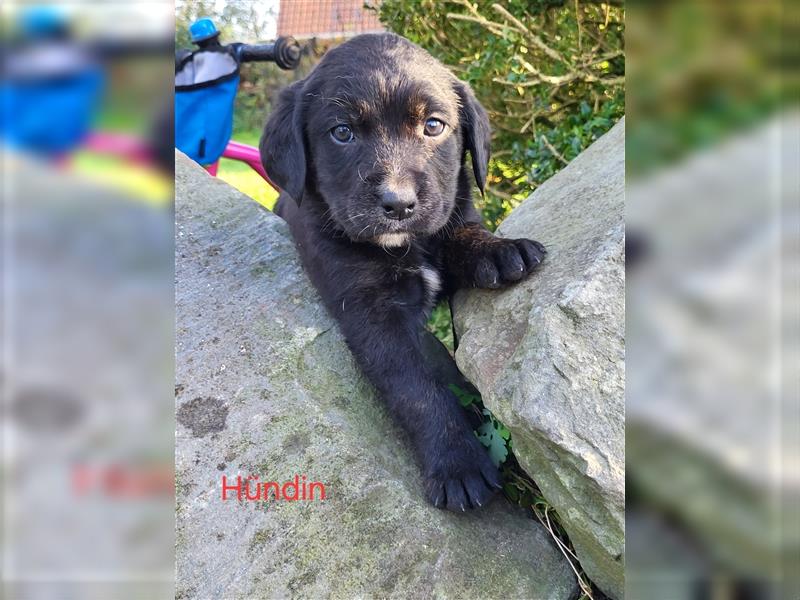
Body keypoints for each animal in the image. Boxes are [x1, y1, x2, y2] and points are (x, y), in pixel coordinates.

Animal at [260, 32, 544, 510]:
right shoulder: (371, 312)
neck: (406, 245)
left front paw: (501, 250)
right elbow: (417, 388)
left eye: (433, 125)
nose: (398, 204)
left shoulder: (450, 218)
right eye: (342, 133)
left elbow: (461, 230)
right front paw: (457, 462)